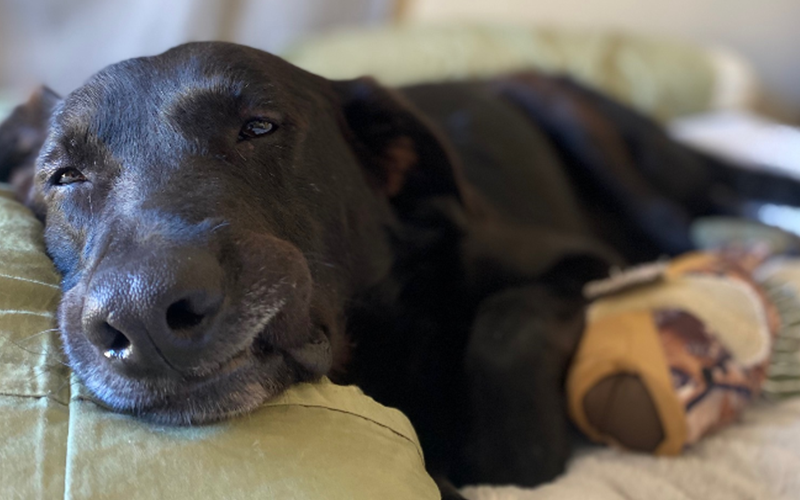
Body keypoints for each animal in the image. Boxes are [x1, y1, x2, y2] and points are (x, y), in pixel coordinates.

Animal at [1, 43, 800, 496]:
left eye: (259, 126)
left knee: (694, 216)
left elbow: (507, 334)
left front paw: (518, 448)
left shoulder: (578, 261)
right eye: (64, 177)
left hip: (586, 132)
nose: (143, 314)